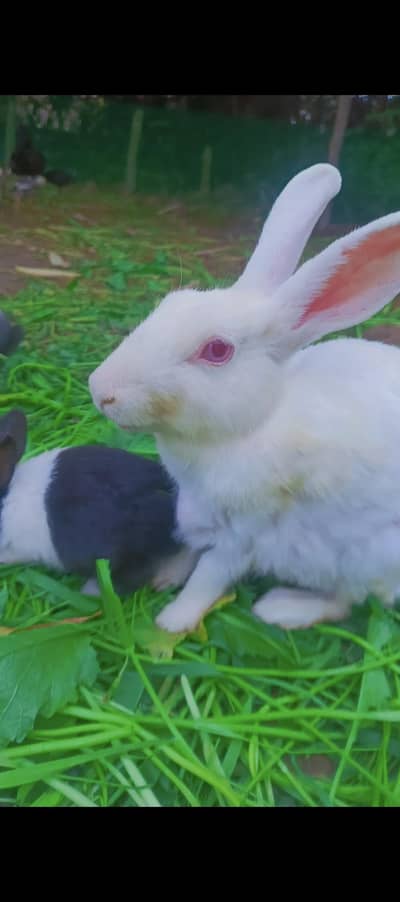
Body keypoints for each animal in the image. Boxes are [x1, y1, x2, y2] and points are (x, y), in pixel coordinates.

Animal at [88, 162, 400, 633]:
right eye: (169, 303)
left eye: (217, 350)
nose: (100, 391)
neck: (252, 426)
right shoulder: (196, 512)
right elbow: (188, 552)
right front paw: (165, 576)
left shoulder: (245, 533)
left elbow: (207, 577)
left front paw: (170, 623)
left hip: (363, 557)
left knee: (345, 600)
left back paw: (281, 608)